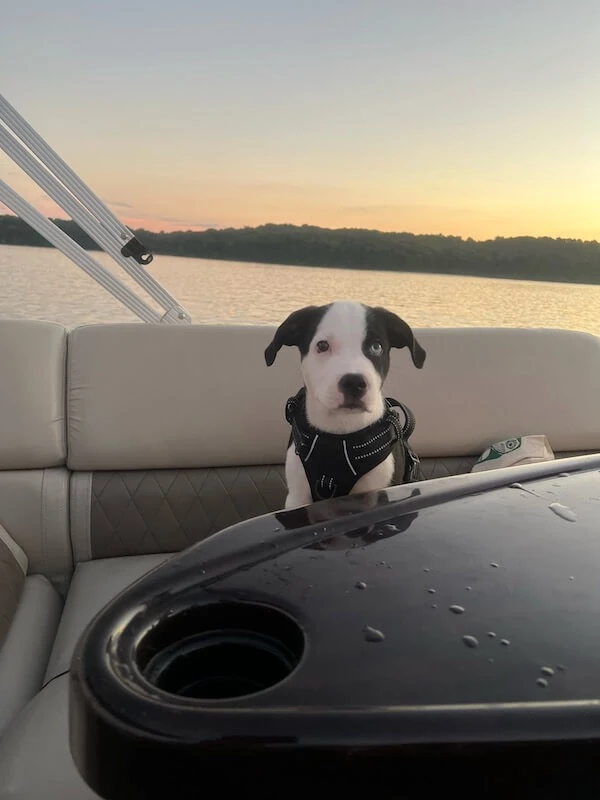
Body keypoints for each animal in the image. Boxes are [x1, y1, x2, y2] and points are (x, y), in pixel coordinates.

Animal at [264, 296, 426, 510]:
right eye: (322, 345)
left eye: (376, 347)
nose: (354, 383)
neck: (339, 434)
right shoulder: (297, 498)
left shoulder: (377, 493)